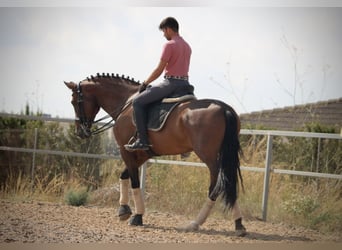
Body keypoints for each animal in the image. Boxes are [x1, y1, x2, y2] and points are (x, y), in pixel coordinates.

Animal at [64, 73, 246, 235]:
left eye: (74, 102)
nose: (80, 132)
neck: (126, 103)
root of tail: (223, 108)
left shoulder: (125, 151)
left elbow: (134, 181)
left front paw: (137, 216)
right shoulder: (142, 154)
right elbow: (124, 175)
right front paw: (123, 210)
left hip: (210, 157)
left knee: (218, 186)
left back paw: (195, 223)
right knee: (229, 183)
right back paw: (238, 225)